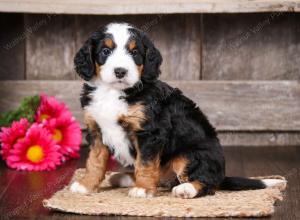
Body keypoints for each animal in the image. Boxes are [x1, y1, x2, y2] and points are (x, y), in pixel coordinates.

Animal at [71, 23, 286, 199]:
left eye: (135, 53)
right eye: (105, 51)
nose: (120, 71)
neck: (113, 92)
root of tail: (221, 173)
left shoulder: (150, 132)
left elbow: (145, 163)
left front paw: (143, 189)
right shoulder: (96, 129)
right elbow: (95, 161)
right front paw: (86, 185)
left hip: (190, 155)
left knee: (208, 184)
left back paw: (186, 189)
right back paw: (123, 178)